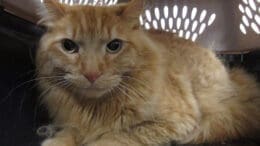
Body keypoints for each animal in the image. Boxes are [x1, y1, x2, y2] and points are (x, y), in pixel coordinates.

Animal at [35, 0, 260, 145]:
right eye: (69, 46)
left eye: (114, 46)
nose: (92, 74)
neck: (96, 108)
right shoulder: (73, 122)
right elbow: (68, 134)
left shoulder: (175, 122)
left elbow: (116, 137)